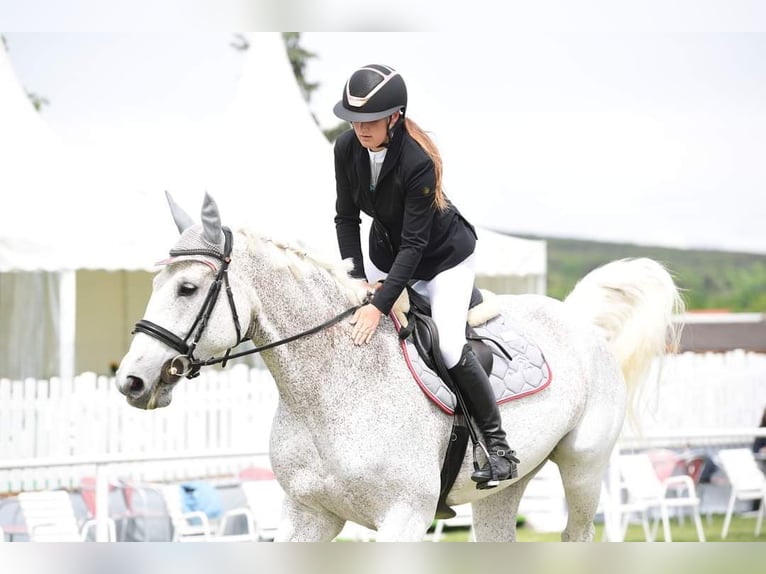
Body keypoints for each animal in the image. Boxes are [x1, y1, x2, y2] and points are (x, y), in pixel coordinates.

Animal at [117, 195, 688, 544]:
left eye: (187, 288)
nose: (132, 380)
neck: (328, 390)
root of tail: (579, 320)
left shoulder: (404, 516)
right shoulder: (308, 514)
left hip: (583, 468)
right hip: (507, 488)